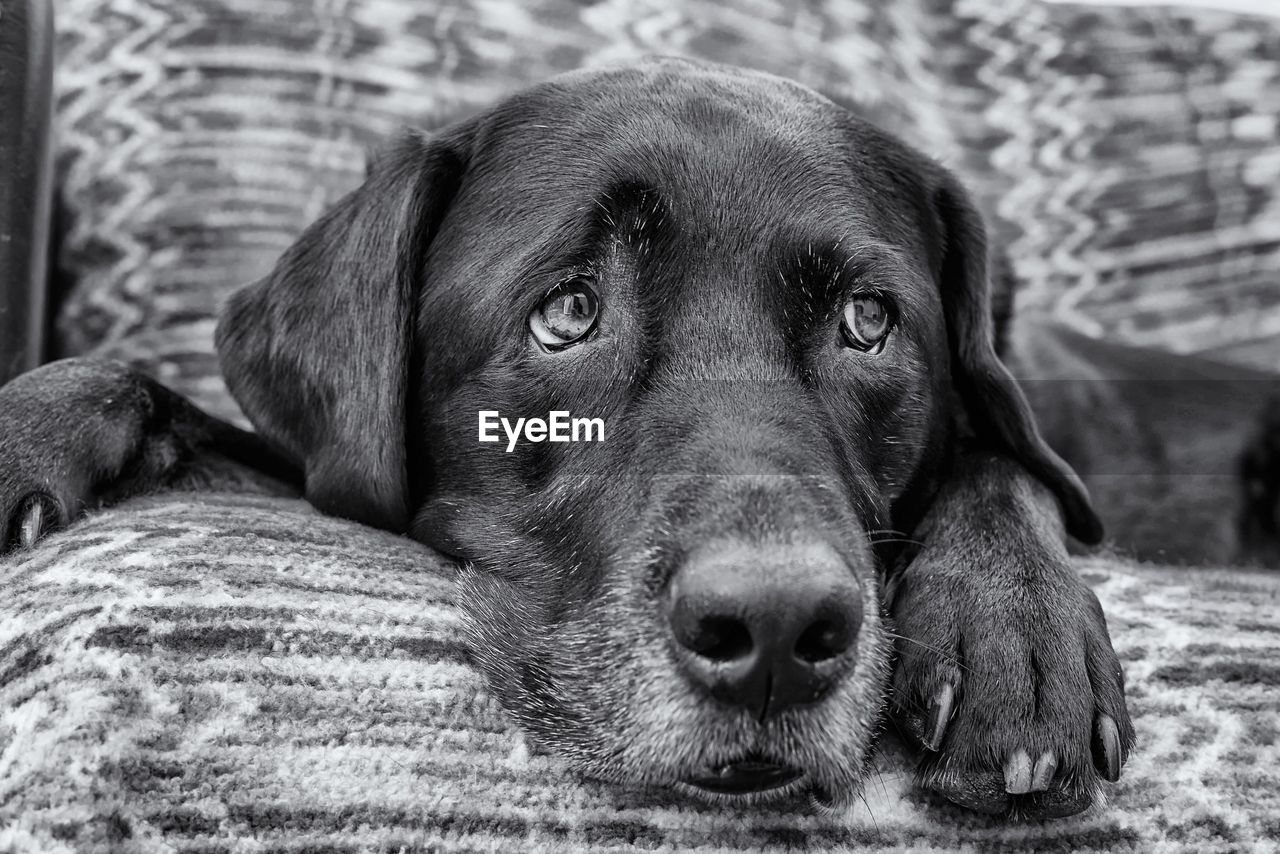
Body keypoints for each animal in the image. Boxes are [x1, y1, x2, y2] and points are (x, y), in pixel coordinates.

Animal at [0, 56, 1131, 819]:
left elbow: (1006, 465)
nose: (774, 629)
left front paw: (1011, 628)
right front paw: (29, 428)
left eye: (867, 319)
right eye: (569, 312)